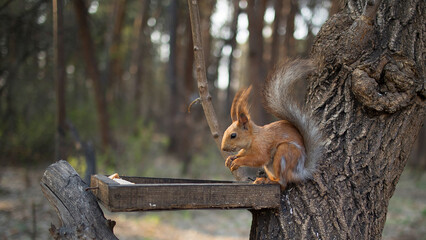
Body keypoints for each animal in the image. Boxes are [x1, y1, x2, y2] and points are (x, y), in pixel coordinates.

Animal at [221, 59, 322, 189]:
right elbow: (242, 153)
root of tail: (298, 172)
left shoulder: (262, 146)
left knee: (283, 182)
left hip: (284, 152)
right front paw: (231, 158)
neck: (253, 138)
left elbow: (259, 158)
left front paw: (237, 162)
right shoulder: (247, 149)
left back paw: (270, 181)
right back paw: (262, 180)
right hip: (270, 166)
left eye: (233, 135)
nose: (223, 148)